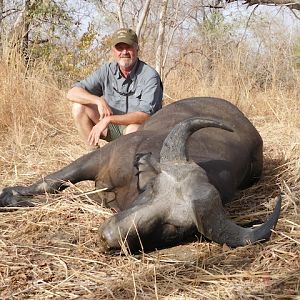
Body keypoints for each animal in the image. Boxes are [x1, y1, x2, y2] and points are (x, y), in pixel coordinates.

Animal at [0, 98, 282, 251]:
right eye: (150, 189)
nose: (109, 236)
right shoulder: (98, 159)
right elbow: (53, 182)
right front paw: (11, 195)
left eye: (172, 228)